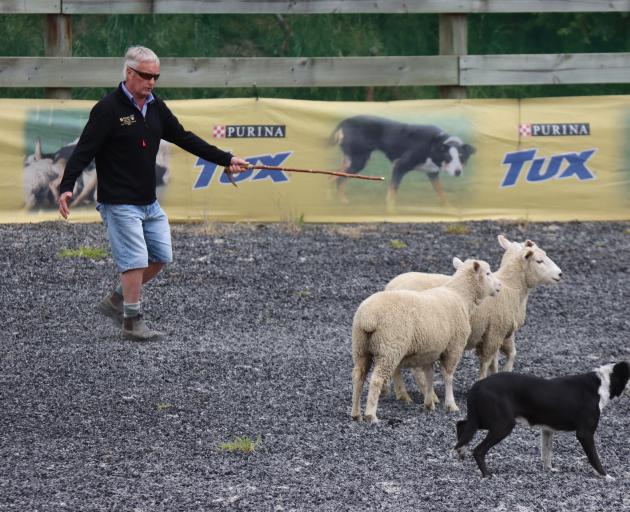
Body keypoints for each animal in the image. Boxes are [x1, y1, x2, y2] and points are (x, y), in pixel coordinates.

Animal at [354, 258, 502, 422]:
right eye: (488, 273)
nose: (499, 286)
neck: (460, 296)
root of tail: (368, 318)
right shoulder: (454, 347)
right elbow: (448, 376)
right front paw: (451, 405)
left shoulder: (429, 351)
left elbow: (429, 376)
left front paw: (429, 403)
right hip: (389, 347)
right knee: (377, 380)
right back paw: (371, 415)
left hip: (361, 347)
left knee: (358, 377)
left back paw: (356, 413)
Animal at [388, 234, 564, 406]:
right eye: (539, 261)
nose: (560, 274)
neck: (511, 287)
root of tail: (390, 287)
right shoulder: (495, 331)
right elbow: (487, 361)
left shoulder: (500, 332)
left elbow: (506, 356)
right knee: (415, 369)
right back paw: (429, 396)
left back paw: (403, 395)